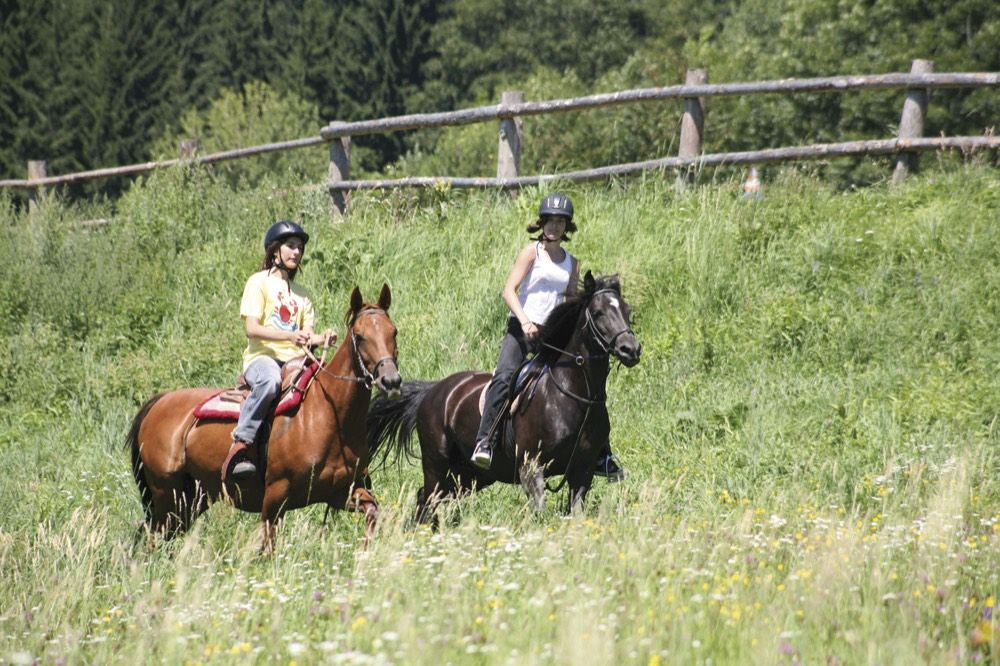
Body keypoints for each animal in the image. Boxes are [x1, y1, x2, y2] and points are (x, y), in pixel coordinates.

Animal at [126, 284, 401, 554]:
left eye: (394, 332)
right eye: (360, 335)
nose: (391, 380)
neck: (329, 416)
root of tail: (158, 402)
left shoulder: (341, 491)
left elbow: (373, 512)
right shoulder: (275, 496)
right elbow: (268, 549)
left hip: (190, 499)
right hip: (167, 494)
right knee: (151, 539)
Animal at [367, 272, 640, 523]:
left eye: (626, 310)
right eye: (598, 312)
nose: (631, 349)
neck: (572, 395)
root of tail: (432, 391)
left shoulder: (582, 471)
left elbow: (577, 514)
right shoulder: (532, 468)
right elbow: (540, 514)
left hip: (470, 475)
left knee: (429, 499)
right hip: (437, 464)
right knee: (428, 500)